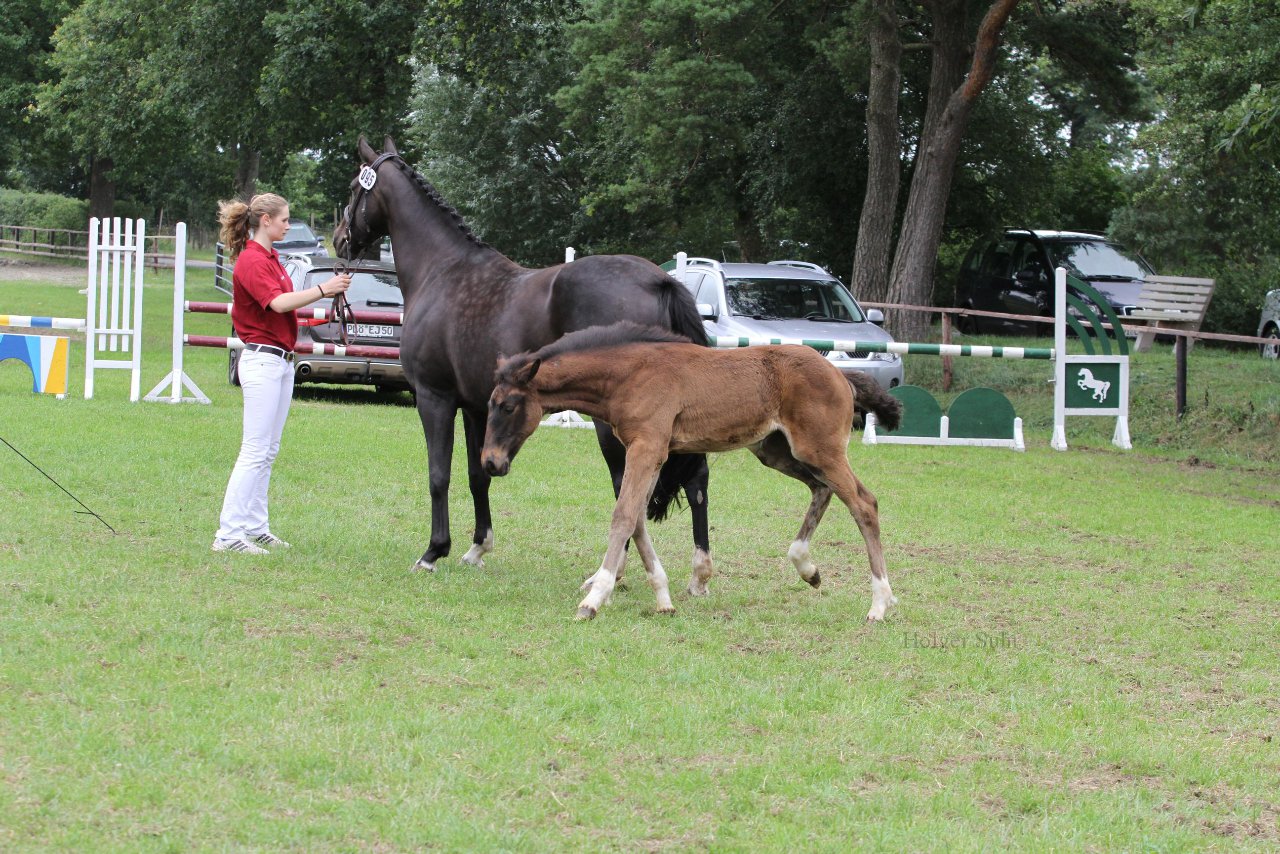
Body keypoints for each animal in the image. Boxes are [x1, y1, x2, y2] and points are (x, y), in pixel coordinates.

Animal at [476, 320, 906, 622]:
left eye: (508, 406)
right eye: (492, 402)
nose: (490, 462)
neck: (630, 374)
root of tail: (840, 375)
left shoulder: (647, 447)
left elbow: (623, 516)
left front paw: (594, 598)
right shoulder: (651, 451)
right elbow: (637, 519)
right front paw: (663, 598)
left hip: (819, 449)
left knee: (864, 504)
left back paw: (879, 604)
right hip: (776, 451)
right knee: (822, 490)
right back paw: (808, 568)